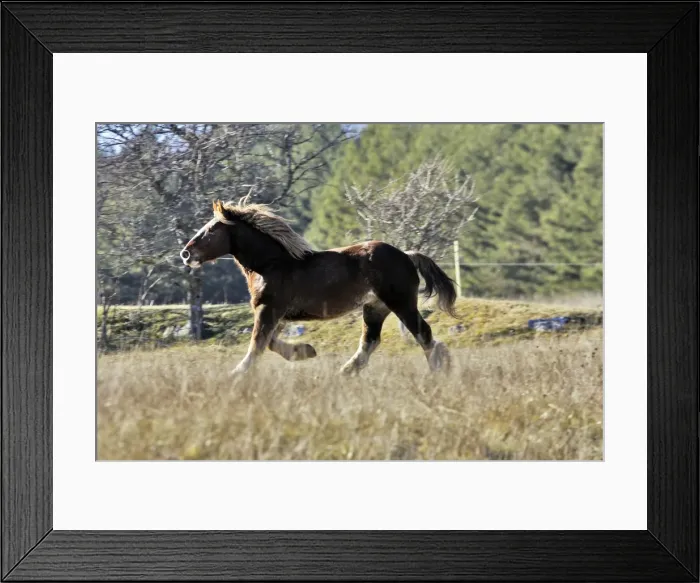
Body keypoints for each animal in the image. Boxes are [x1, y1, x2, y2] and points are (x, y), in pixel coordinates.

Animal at [180, 200, 457, 377]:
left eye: (211, 230)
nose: (186, 253)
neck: (271, 264)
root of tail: (408, 255)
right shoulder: (278, 314)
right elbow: (269, 343)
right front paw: (305, 351)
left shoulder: (268, 308)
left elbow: (257, 343)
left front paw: (237, 373)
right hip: (375, 307)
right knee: (370, 340)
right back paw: (345, 372)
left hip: (400, 302)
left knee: (423, 333)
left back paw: (438, 369)